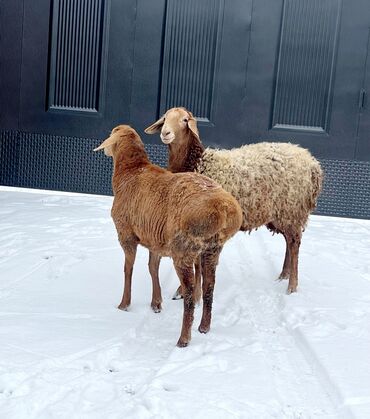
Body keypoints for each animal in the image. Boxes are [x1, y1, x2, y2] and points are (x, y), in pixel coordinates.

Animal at [94, 124, 241, 348]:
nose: (105, 151)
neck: (130, 171)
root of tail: (224, 208)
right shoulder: (155, 239)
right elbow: (152, 268)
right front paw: (156, 303)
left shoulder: (126, 234)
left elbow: (128, 269)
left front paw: (124, 304)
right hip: (212, 248)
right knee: (209, 286)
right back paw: (204, 327)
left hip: (184, 248)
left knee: (189, 291)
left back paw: (184, 338)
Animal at [145, 107, 324, 296]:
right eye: (165, 118)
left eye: (185, 120)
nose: (165, 133)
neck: (198, 163)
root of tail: (312, 163)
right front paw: (183, 290)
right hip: (281, 213)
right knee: (289, 242)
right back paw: (283, 275)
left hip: (291, 208)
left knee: (294, 243)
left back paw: (292, 286)